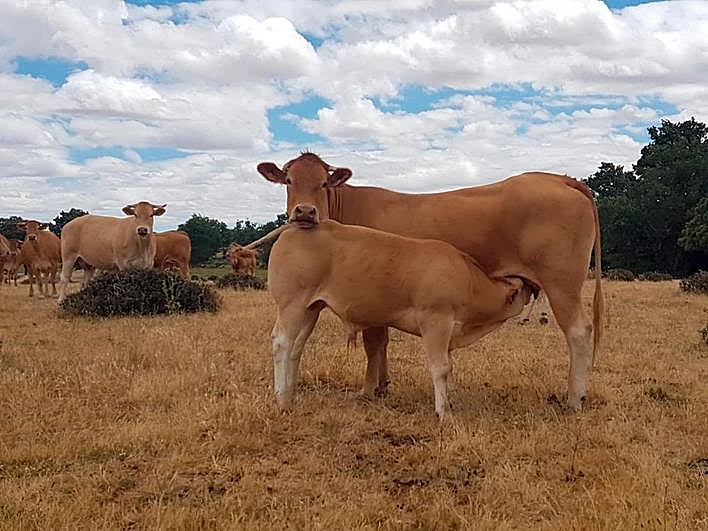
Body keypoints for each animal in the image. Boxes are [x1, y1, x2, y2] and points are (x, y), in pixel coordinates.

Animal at [268, 218, 536, 419]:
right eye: (522, 288)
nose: (533, 286)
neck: (467, 279)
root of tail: (294, 228)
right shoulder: (435, 323)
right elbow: (441, 368)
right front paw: (443, 413)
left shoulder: (448, 332)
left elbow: (449, 367)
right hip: (293, 305)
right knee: (282, 344)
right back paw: (282, 400)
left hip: (310, 309)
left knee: (296, 348)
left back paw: (291, 396)